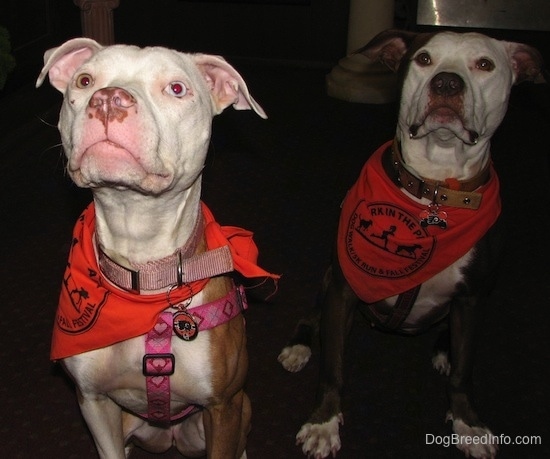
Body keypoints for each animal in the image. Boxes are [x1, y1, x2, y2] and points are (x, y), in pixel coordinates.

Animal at [36, 37, 278, 458]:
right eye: (85, 80)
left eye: (177, 88)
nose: (109, 99)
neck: (142, 267)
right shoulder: (93, 402)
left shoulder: (223, 406)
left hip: (237, 411)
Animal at [278, 29, 544, 459]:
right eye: (424, 58)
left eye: (485, 64)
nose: (447, 83)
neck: (433, 193)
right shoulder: (343, 288)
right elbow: (333, 367)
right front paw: (323, 424)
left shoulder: (473, 297)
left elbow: (464, 373)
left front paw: (468, 423)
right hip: (327, 277)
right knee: (310, 319)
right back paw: (299, 348)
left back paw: (444, 351)